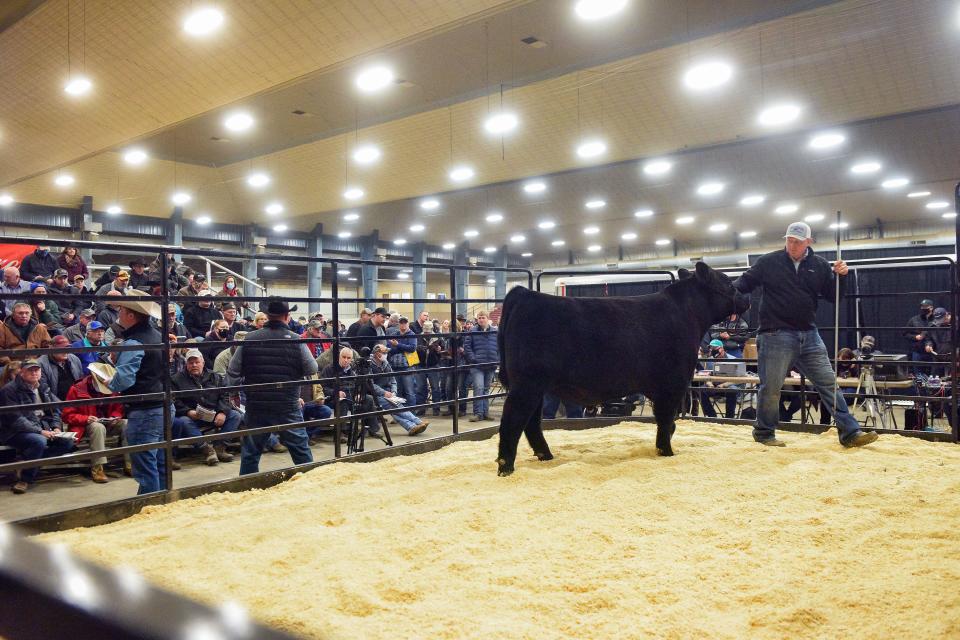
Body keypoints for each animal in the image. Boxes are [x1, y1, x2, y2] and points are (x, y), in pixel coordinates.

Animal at [496, 260, 752, 476]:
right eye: (728, 283)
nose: (747, 299)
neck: (687, 314)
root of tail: (524, 294)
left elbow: (667, 422)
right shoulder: (672, 383)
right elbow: (665, 419)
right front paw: (666, 451)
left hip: (535, 387)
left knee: (531, 422)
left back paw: (545, 455)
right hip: (527, 384)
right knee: (513, 420)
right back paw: (506, 467)